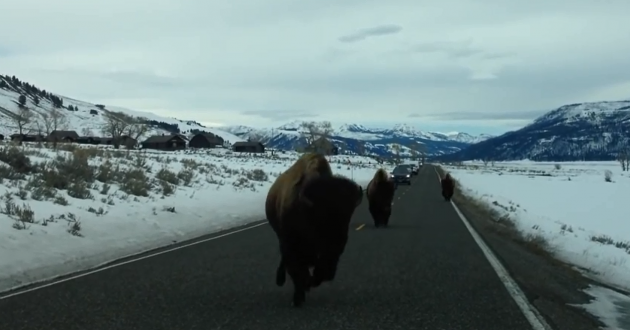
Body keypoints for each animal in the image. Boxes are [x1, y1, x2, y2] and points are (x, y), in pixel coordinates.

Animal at [266, 152, 366, 306]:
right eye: (321, 217)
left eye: (348, 217)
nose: (339, 242)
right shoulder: (291, 246)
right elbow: (297, 271)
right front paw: (299, 298)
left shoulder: (327, 256)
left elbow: (318, 274)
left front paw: (308, 285)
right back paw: (282, 280)